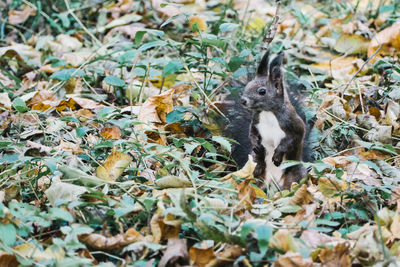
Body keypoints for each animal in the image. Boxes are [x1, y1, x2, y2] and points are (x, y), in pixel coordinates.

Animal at [222, 50, 312, 192]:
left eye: (262, 91)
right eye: (247, 85)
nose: (243, 100)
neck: (267, 113)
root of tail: (273, 183)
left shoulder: (294, 124)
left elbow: (294, 138)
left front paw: (277, 154)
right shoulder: (255, 122)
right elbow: (252, 133)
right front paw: (256, 146)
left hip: (296, 173)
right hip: (254, 170)